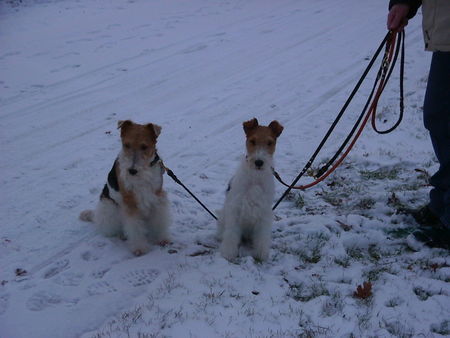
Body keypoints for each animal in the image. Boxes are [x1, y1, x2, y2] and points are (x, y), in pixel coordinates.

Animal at [79, 120, 171, 255]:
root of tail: (96, 216)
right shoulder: (130, 202)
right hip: (110, 208)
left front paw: (162, 239)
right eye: (126, 145)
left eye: (144, 146)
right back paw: (121, 235)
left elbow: (159, 220)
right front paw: (139, 248)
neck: (143, 174)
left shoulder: (157, 196)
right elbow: (134, 227)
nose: (132, 170)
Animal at [216, 117, 284, 262]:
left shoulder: (264, 212)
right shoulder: (235, 208)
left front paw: (261, 254)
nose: (259, 162)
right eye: (252, 141)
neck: (255, 177)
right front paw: (228, 253)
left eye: (270, 142)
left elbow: (263, 236)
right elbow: (231, 234)